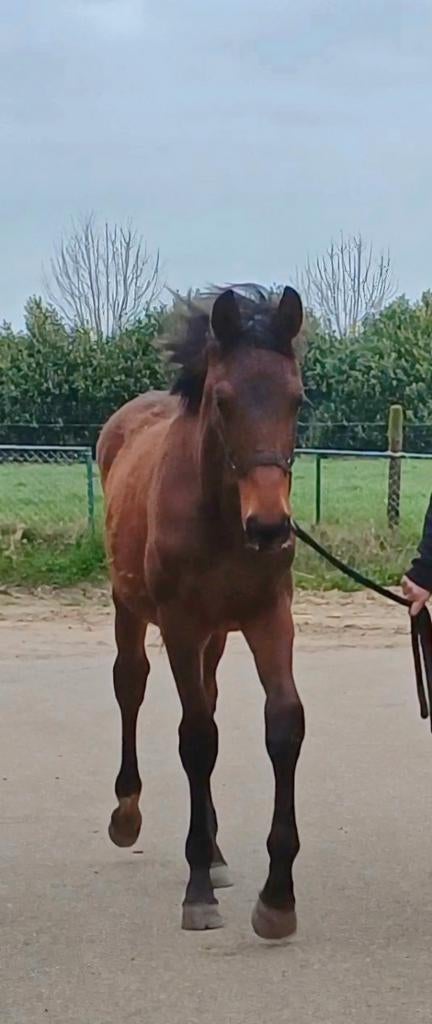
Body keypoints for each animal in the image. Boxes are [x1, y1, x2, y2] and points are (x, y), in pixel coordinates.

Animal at [97, 285, 305, 939]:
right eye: (223, 398)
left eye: (298, 398)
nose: (269, 527)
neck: (223, 517)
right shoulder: (181, 624)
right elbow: (196, 740)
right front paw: (196, 892)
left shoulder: (270, 616)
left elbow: (283, 725)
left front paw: (277, 898)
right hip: (132, 607)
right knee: (131, 684)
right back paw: (128, 813)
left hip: (217, 634)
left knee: (207, 696)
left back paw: (214, 852)